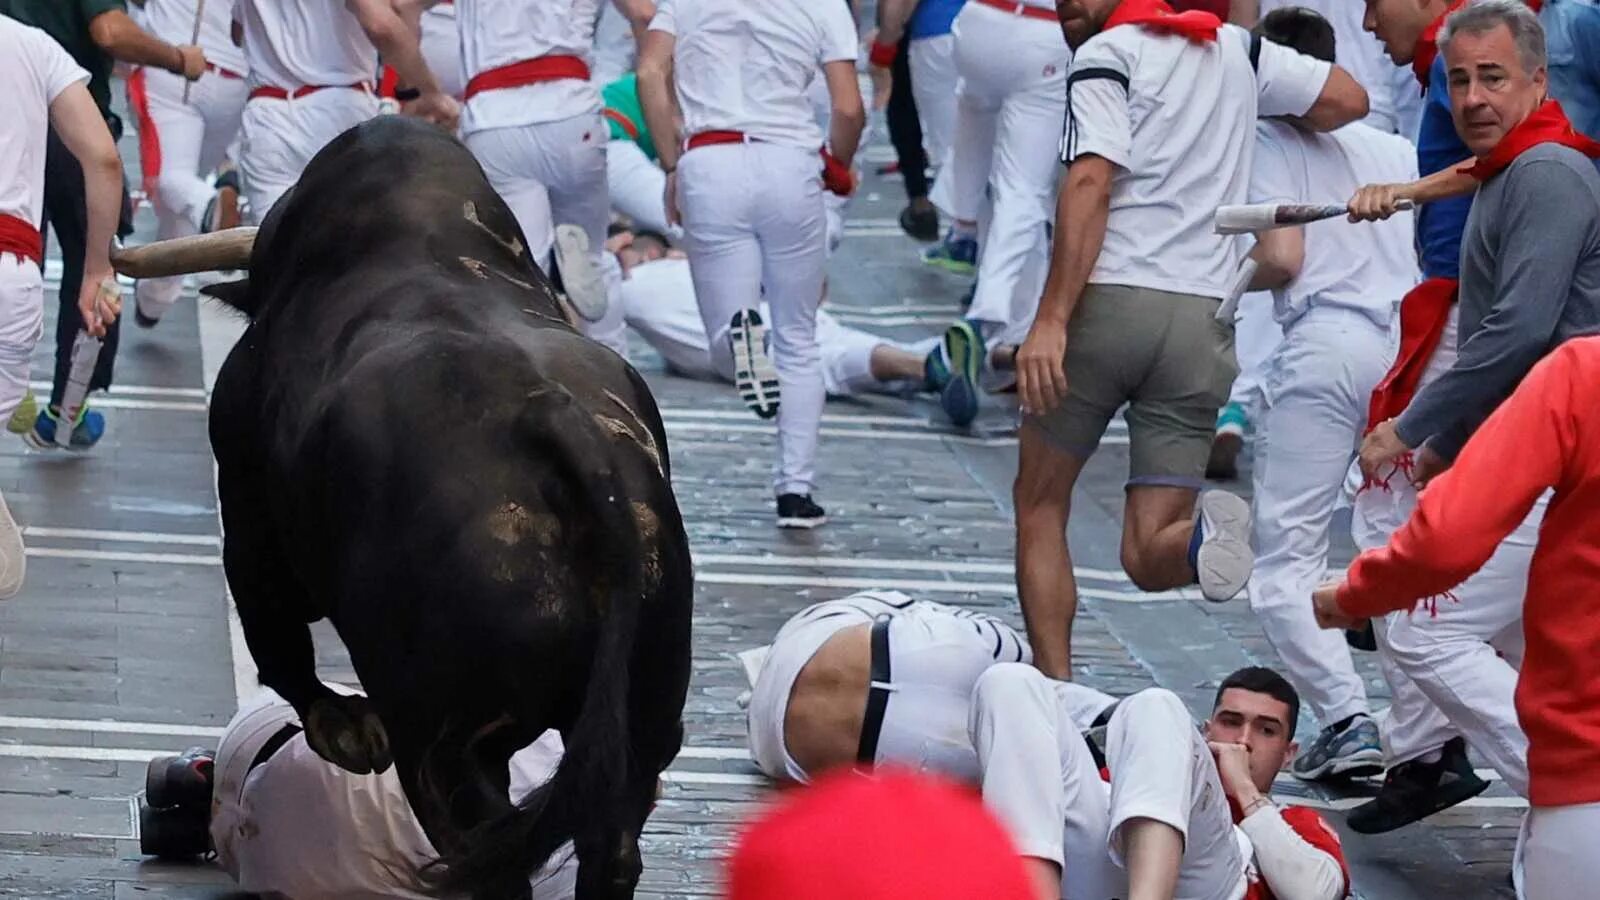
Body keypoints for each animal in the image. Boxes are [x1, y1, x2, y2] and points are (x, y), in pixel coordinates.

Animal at [208, 119, 694, 896]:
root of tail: (555, 420)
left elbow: (277, 639)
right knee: (608, 847)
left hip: (443, 742)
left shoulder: (248, 512)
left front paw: (340, 725)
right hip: (641, 721)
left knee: (485, 854)